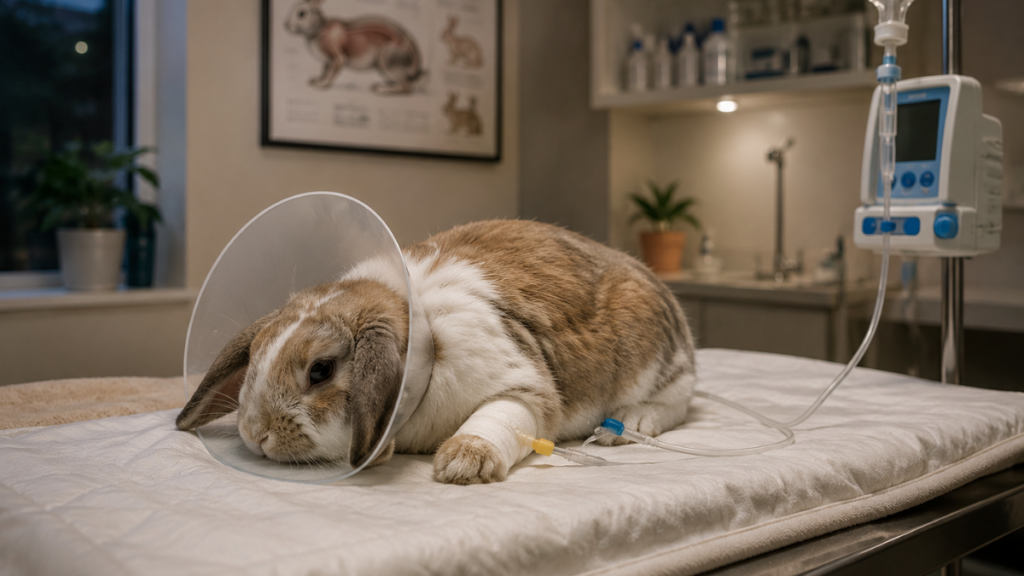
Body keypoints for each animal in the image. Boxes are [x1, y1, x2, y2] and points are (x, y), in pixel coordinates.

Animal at [177, 220, 696, 485]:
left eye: (321, 371)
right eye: (255, 355)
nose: (256, 434)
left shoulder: (523, 389)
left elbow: (501, 419)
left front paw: (463, 463)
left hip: (657, 363)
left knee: (677, 402)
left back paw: (629, 424)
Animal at [284, 0, 424, 94]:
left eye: (301, 14)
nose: (286, 25)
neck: (319, 30)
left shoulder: (337, 58)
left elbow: (331, 72)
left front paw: (322, 85)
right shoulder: (328, 61)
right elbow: (325, 71)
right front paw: (316, 81)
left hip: (385, 58)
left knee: (407, 87)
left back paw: (381, 89)